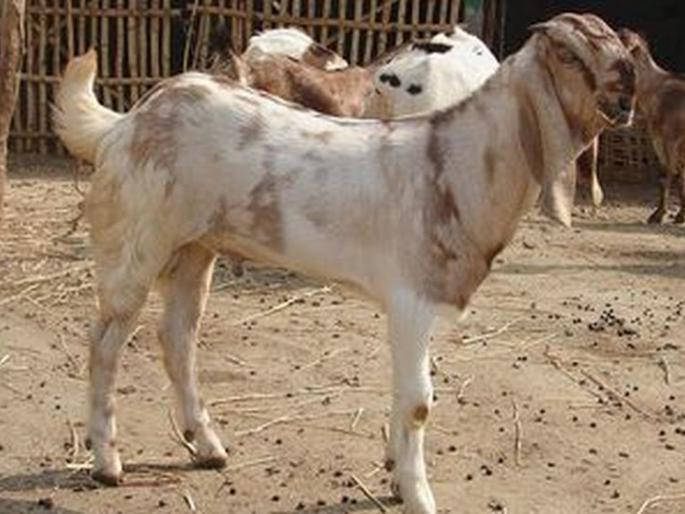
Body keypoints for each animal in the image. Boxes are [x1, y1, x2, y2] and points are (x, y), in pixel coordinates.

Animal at [54, 13, 635, 513]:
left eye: (622, 47)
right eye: (568, 54)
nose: (627, 90)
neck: (456, 165)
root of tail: (126, 122)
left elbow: (408, 394)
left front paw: (397, 476)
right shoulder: (411, 298)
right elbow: (419, 400)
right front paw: (420, 497)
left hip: (195, 248)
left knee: (177, 339)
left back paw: (208, 447)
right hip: (138, 240)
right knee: (105, 342)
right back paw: (107, 462)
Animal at [619, 28, 685, 224]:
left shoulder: (670, 139)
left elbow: (670, 173)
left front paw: (662, 214)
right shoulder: (662, 139)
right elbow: (675, 174)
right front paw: (675, 214)